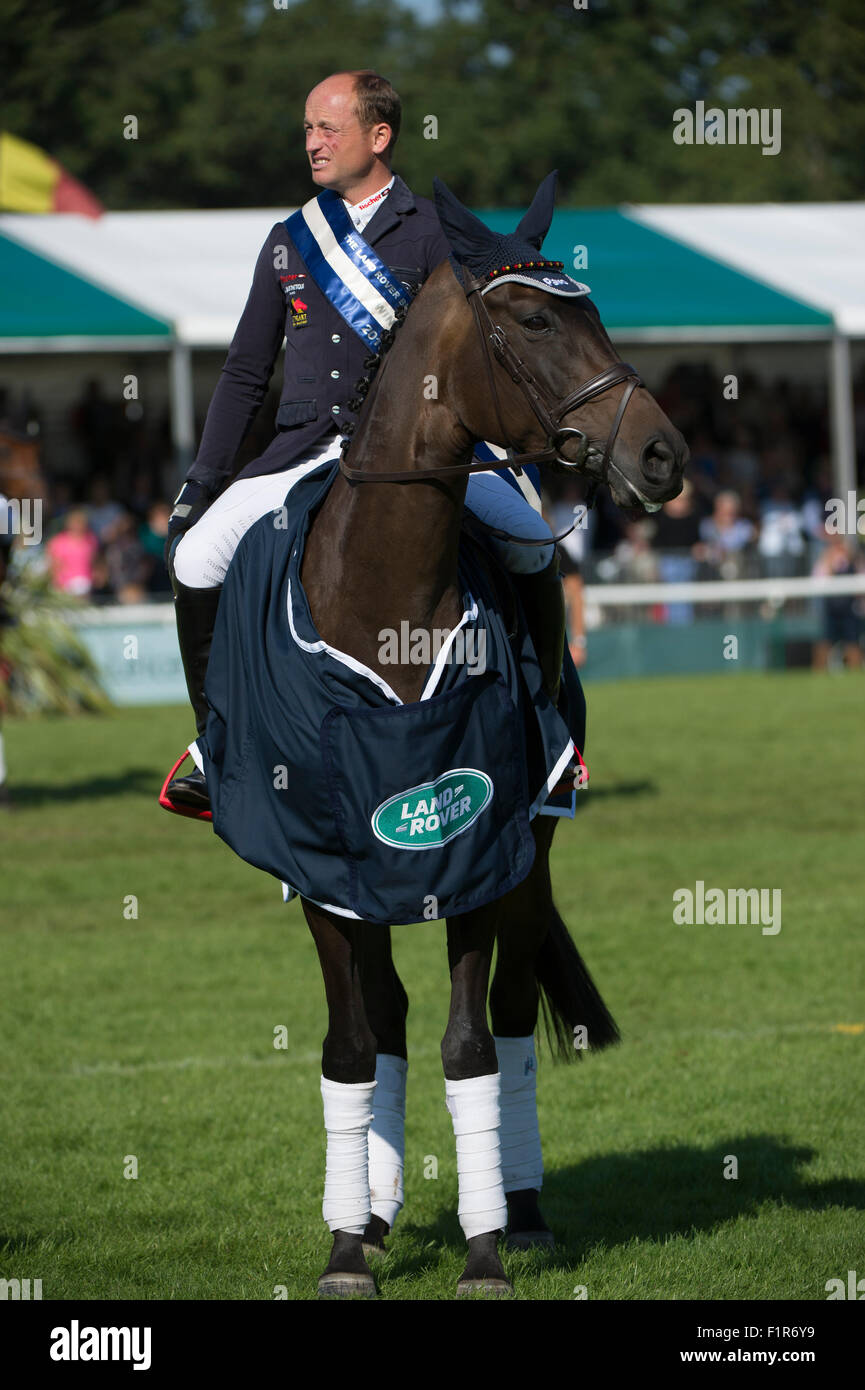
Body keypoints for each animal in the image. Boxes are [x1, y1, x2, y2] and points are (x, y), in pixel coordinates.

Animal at [292, 179, 692, 1295]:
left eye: (594, 312)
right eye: (534, 322)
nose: (662, 454)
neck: (382, 598)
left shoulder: (475, 844)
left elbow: (470, 1044)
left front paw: (482, 1252)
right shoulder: (326, 867)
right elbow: (351, 1046)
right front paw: (346, 1245)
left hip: (531, 849)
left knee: (510, 1016)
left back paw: (523, 1211)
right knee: (383, 1017)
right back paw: (374, 1213)